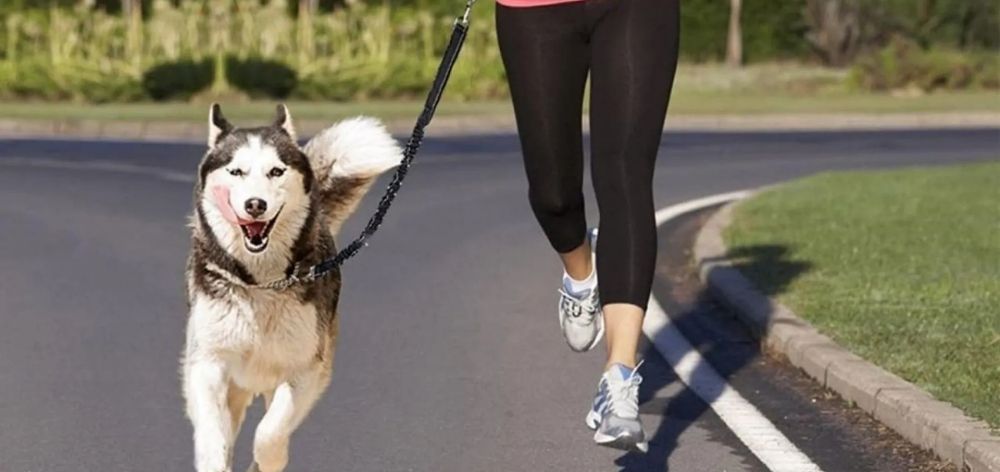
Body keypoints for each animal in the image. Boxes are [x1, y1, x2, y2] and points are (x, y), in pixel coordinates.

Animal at [182, 104, 400, 472]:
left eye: (276, 171)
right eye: (236, 171)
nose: (255, 205)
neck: (261, 282)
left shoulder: (304, 370)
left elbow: (270, 432)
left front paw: (269, 458)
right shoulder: (207, 362)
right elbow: (214, 434)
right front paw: (216, 455)